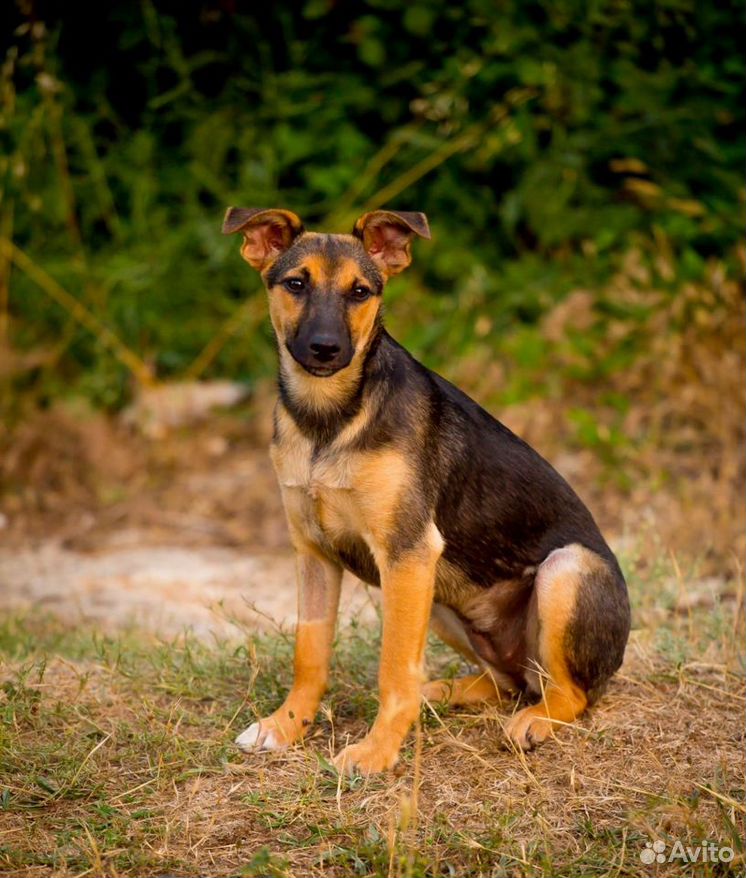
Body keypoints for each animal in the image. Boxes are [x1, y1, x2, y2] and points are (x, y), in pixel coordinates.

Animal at [225, 208, 628, 776]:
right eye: (296, 284)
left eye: (360, 292)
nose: (326, 349)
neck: (329, 417)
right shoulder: (315, 554)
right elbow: (310, 655)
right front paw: (285, 726)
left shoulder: (407, 551)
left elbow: (393, 669)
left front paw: (375, 752)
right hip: (440, 596)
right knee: (508, 683)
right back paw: (443, 691)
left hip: (562, 570)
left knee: (569, 693)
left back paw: (532, 722)